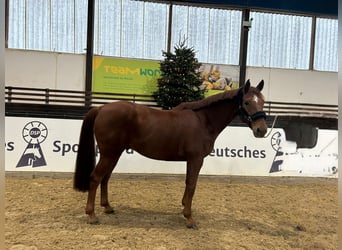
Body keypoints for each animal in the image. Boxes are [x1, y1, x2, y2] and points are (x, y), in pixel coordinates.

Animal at [74, 79, 268, 229]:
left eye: (263, 101)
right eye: (247, 102)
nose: (262, 130)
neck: (203, 120)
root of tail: (101, 108)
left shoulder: (191, 160)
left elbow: (188, 183)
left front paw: (183, 208)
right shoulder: (196, 159)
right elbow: (192, 185)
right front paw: (189, 218)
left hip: (114, 154)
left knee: (105, 178)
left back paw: (107, 207)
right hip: (109, 154)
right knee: (96, 178)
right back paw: (91, 215)